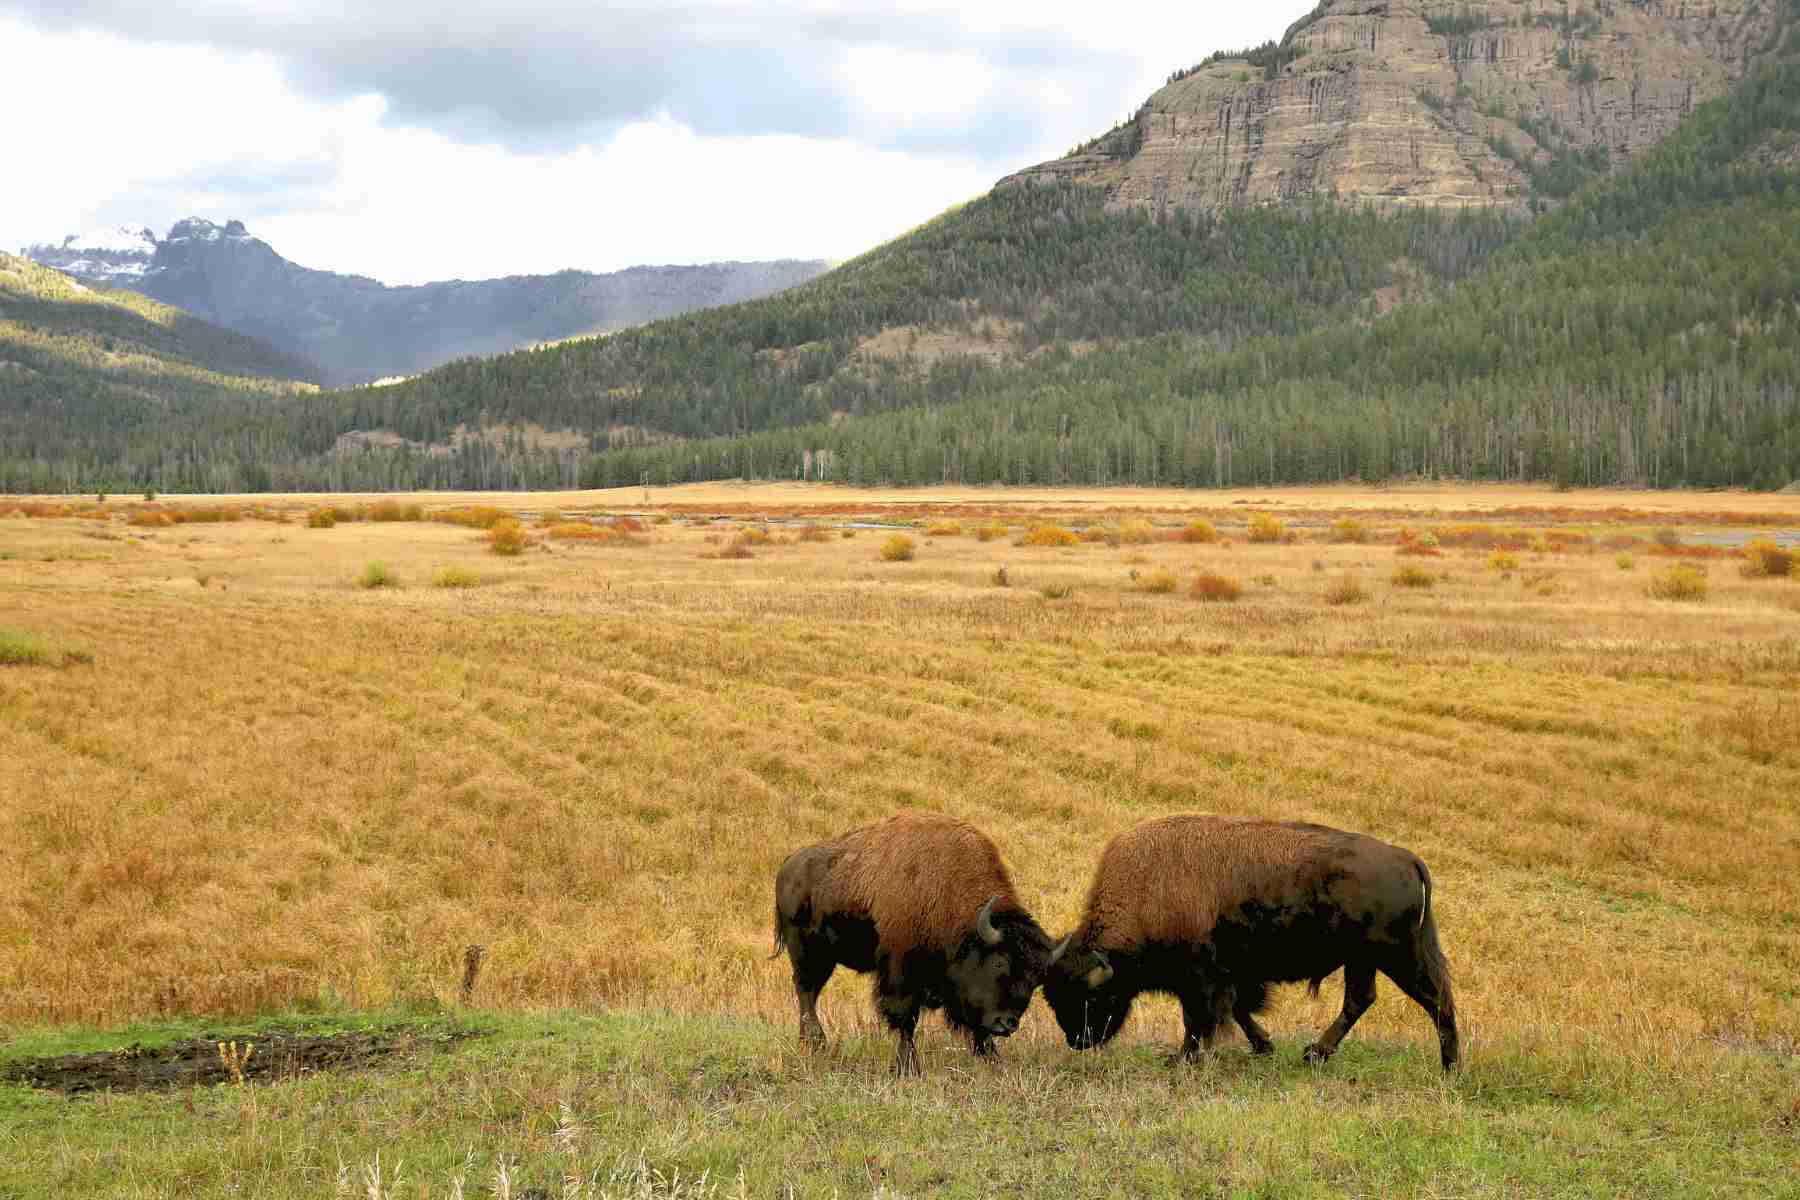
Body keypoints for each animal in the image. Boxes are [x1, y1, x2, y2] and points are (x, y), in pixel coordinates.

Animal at [770, 816, 1051, 1079]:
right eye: (999, 962)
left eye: (1035, 979)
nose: (1007, 1023)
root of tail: (787, 866)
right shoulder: (901, 972)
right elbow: (905, 1018)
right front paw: (908, 1067)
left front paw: (994, 1059)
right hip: (806, 952)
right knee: (805, 990)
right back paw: (815, 1042)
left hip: (825, 959)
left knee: (811, 992)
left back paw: (811, 1043)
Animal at [1051, 816, 1454, 1072]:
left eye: (1090, 999)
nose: (1077, 1039)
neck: (1146, 889)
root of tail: (1405, 858)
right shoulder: (1230, 977)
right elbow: (1238, 1010)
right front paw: (1264, 1045)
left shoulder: (1200, 978)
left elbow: (1199, 1019)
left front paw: (1182, 1059)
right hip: (1364, 960)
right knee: (1362, 1000)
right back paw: (1315, 1055)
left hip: (1395, 955)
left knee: (1435, 1000)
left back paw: (1450, 1068)